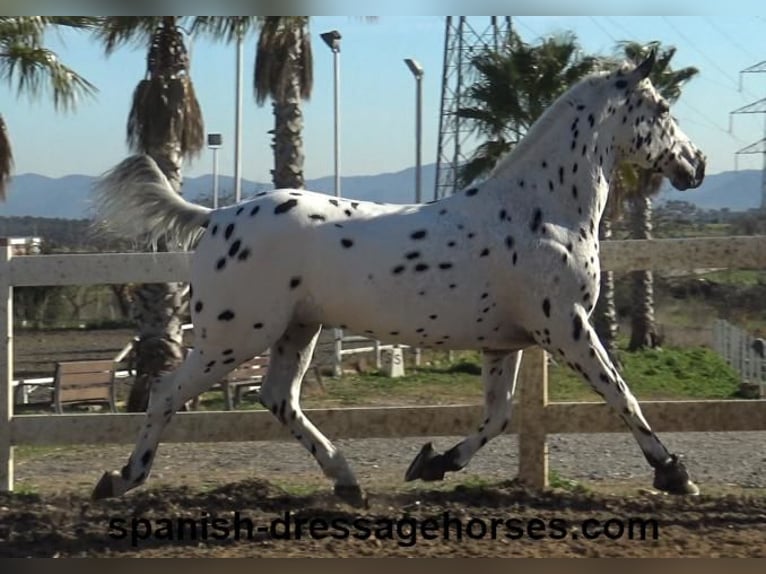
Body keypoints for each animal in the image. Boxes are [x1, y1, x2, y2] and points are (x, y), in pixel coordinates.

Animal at [91, 50, 708, 508]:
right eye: (663, 106)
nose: (696, 164)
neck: (540, 212)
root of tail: (216, 217)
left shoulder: (505, 342)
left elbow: (498, 416)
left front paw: (432, 463)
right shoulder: (564, 327)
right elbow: (620, 393)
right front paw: (675, 474)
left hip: (296, 331)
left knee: (278, 397)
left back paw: (348, 481)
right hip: (235, 335)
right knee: (168, 393)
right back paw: (120, 479)